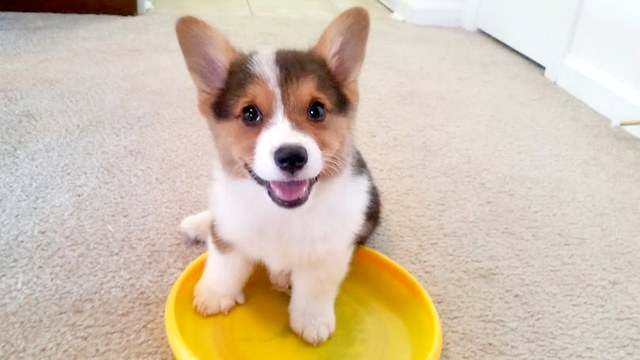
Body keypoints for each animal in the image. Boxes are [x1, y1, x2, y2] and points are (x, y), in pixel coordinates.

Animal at [174, 7, 380, 344]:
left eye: (316, 110)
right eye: (250, 113)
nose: (292, 156)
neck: (281, 214)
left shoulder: (330, 252)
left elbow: (315, 289)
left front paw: (312, 321)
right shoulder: (229, 235)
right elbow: (223, 264)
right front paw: (214, 295)